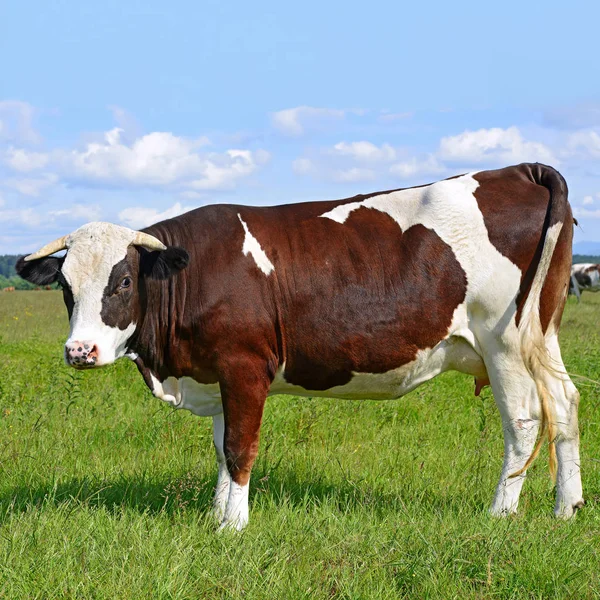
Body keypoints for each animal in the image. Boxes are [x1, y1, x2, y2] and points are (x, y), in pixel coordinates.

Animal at [17, 162, 580, 528]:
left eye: (123, 281)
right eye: (65, 285)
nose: (80, 352)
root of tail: (520, 169)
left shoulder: (244, 366)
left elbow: (240, 447)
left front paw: (233, 527)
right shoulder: (217, 374)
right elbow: (221, 448)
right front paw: (217, 515)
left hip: (504, 341)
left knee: (524, 421)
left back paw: (500, 514)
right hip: (540, 335)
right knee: (565, 404)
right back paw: (566, 510)